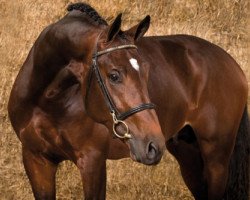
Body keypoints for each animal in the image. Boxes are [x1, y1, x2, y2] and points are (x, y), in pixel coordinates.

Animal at [7, 2, 248, 200]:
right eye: (114, 75)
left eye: (148, 71)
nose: (153, 145)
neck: (47, 102)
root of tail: (231, 62)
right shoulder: (36, 160)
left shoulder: (92, 162)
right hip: (188, 153)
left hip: (216, 158)